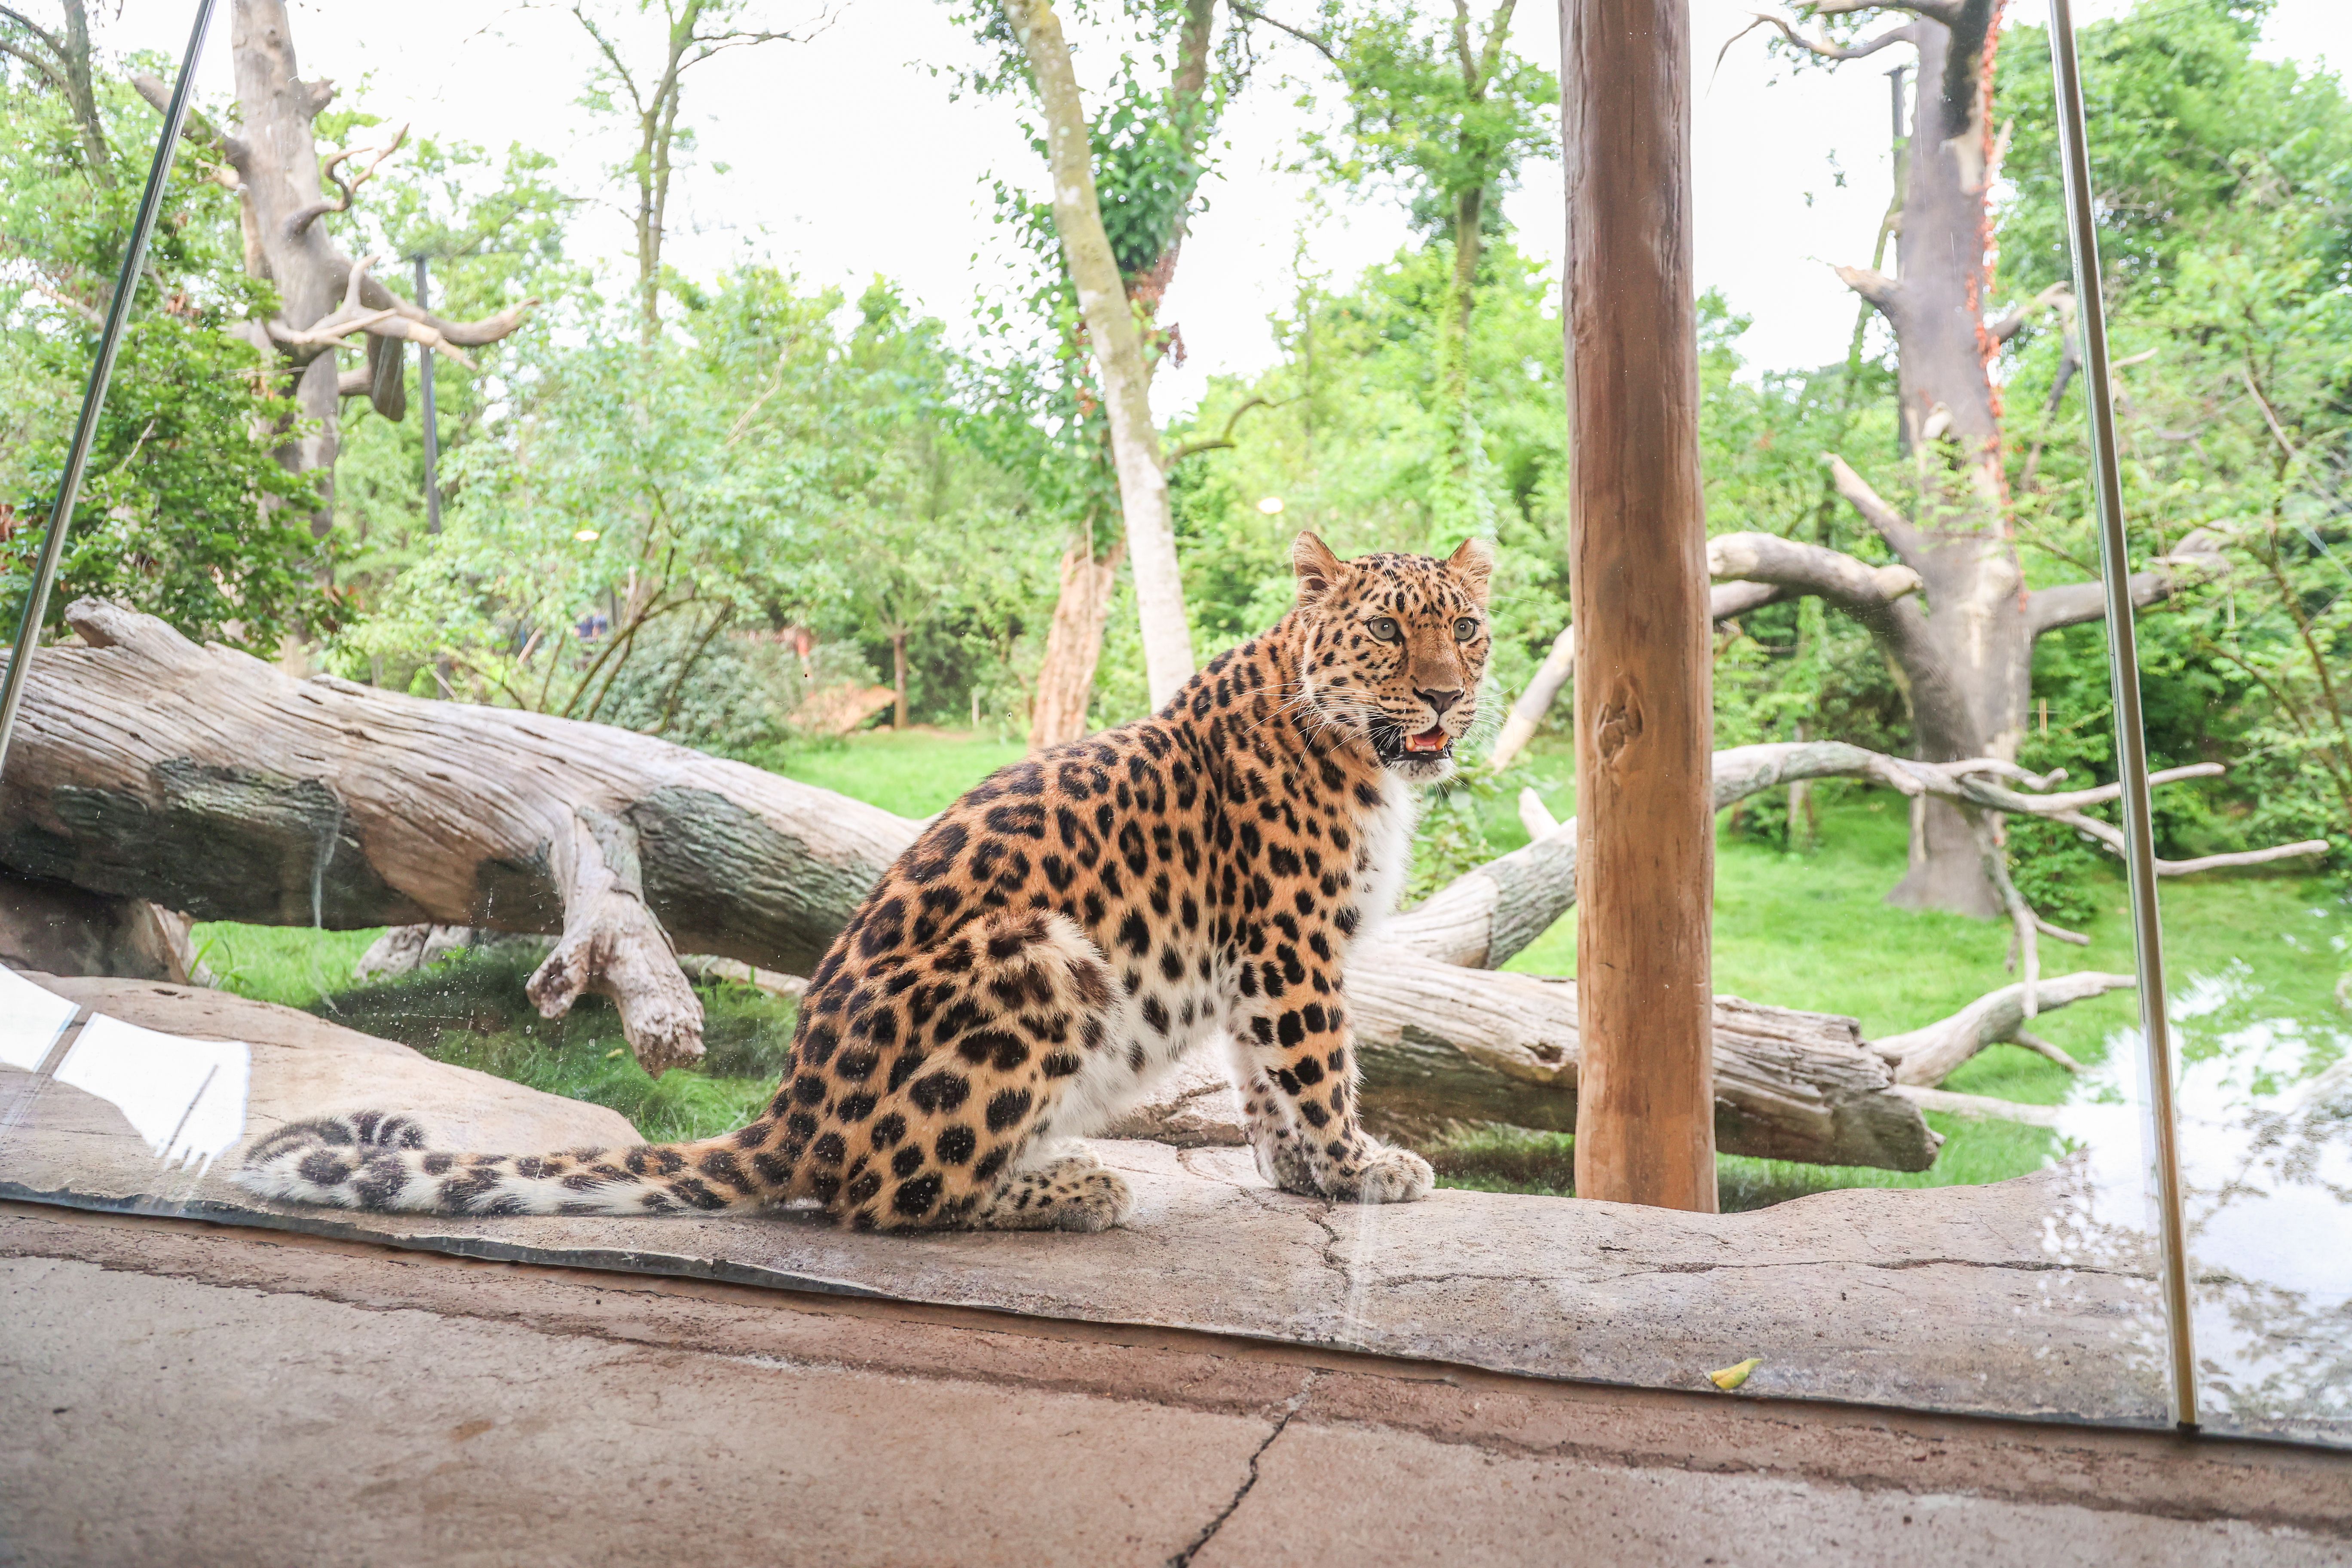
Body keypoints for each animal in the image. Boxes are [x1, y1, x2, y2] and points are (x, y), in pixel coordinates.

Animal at [237, 531, 1495, 1233]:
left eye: (1469, 629)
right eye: (1388, 633)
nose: (1445, 697)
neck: (1361, 754)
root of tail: (789, 1109)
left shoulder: (1257, 958)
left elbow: (1261, 1078)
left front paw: (1298, 1175)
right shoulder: (1289, 946)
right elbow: (1317, 1069)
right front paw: (1360, 1167)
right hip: (1043, 960)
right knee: (884, 1194)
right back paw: (1071, 1187)